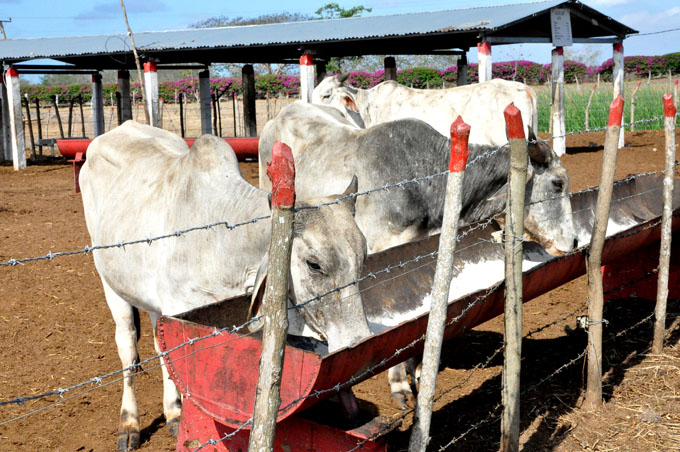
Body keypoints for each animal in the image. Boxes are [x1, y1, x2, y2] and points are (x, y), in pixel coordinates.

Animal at [82, 121, 374, 452]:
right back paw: (129, 423)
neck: (225, 240)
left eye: (363, 257)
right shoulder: (181, 314)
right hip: (110, 282)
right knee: (128, 348)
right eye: (314, 264)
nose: (359, 340)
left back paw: (172, 413)